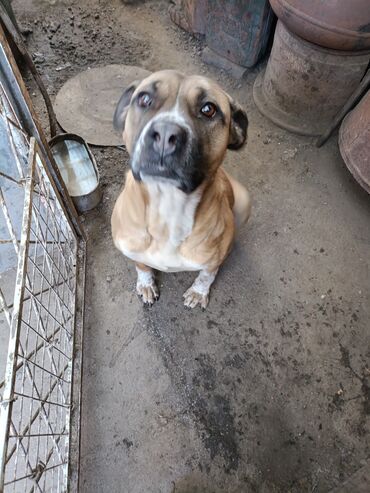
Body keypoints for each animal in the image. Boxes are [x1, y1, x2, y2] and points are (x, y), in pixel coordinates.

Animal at [111, 70, 251, 308]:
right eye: (144, 99)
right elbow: (141, 264)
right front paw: (146, 283)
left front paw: (198, 292)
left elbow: (207, 274)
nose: (166, 134)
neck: (167, 209)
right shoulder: (131, 247)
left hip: (244, 199)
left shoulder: (212, 262)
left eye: (208, 109)